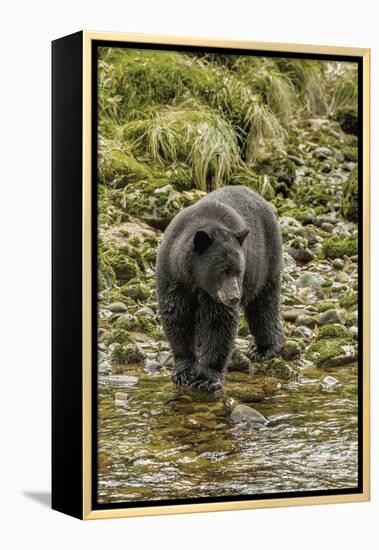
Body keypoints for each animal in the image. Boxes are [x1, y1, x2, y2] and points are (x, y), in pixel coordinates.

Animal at [156, 185, 284, 392]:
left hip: (266, 262)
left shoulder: (216, 295)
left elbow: (219, 322)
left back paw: (264, 349)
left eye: (239, 271)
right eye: (222, 271)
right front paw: (183, 372)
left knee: (264, 305)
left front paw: (206, 379)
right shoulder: (174, 277)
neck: (196, 280)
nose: (234, 298)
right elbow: (177, 316)